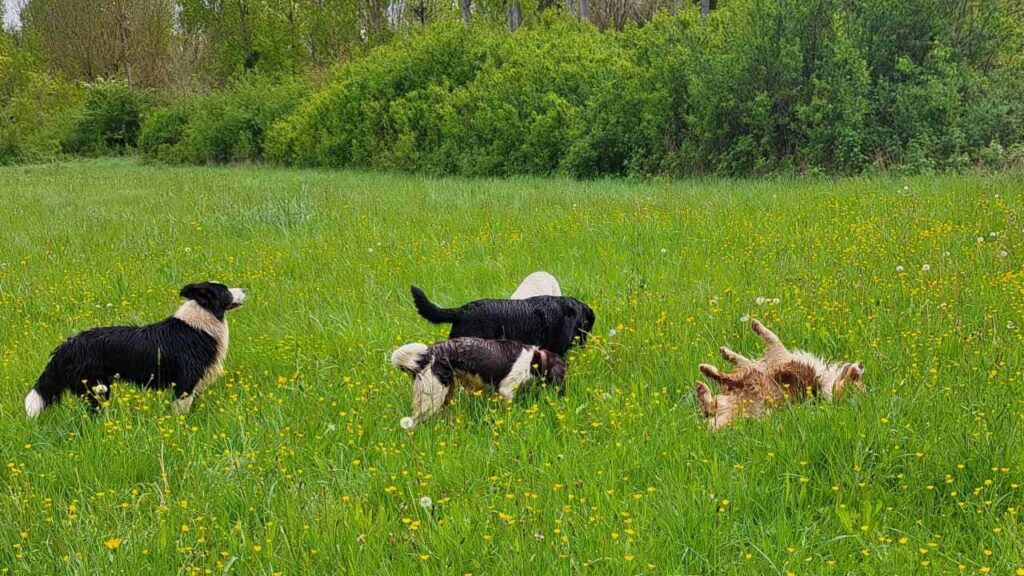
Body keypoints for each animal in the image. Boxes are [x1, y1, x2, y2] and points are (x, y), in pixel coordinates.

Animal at [23, 278, 246, 416]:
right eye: (225, 290)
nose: (245, 289)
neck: (201, 318)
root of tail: (66, 345)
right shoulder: (185, 384)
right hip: (95, 388)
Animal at [696, 319, 864, 428]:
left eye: (854, 380)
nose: (860, 365)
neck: (824, 386)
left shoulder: (780, 359)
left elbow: (774, 341)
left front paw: (757, 326)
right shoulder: (772, 362)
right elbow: (745, 359)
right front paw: (728, 352)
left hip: (753, 382)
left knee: (727, 379)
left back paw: (707, 373)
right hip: (728, 398)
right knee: (711, 404)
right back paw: (703, 388)